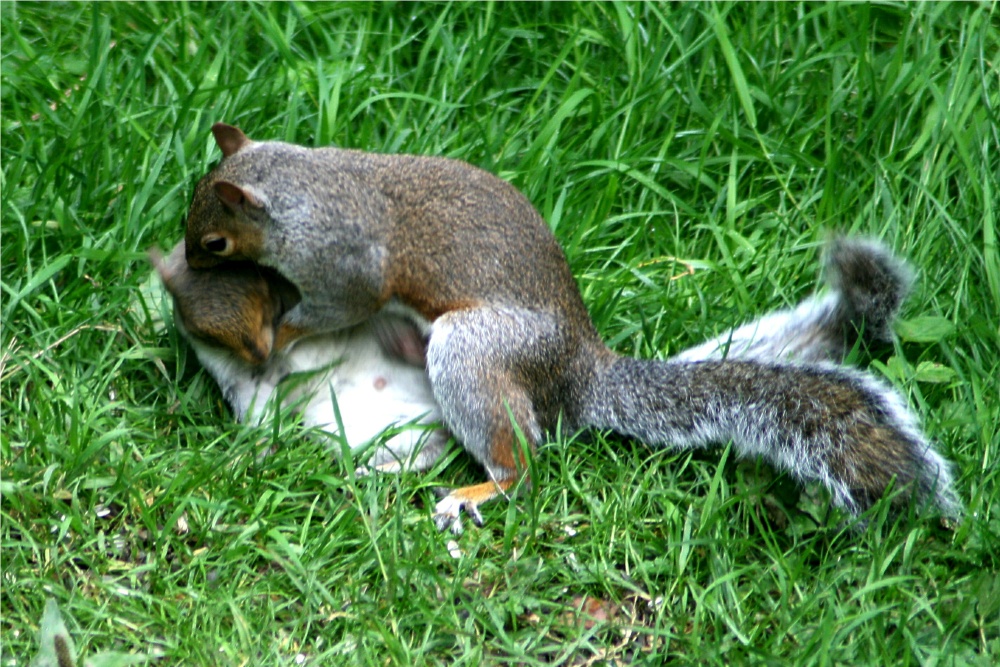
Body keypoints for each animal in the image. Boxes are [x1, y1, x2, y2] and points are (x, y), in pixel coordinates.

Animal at [150, 241, 447, 472]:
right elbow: (258, 411)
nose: (263, 356)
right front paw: (256, 454)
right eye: (209, 336)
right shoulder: (236, 380)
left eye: (273, 301)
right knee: (430, 448)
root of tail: (436, 414)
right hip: (357, 430)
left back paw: (402, 339)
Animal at [181, 123, 961, 533]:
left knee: (523, 460)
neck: (302, 189)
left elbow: (332, 307)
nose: (186, 259)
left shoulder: (346, 265)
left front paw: (278, 330)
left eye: (213, 240)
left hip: (473, 351)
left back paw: (479, 492)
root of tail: (578, 368)